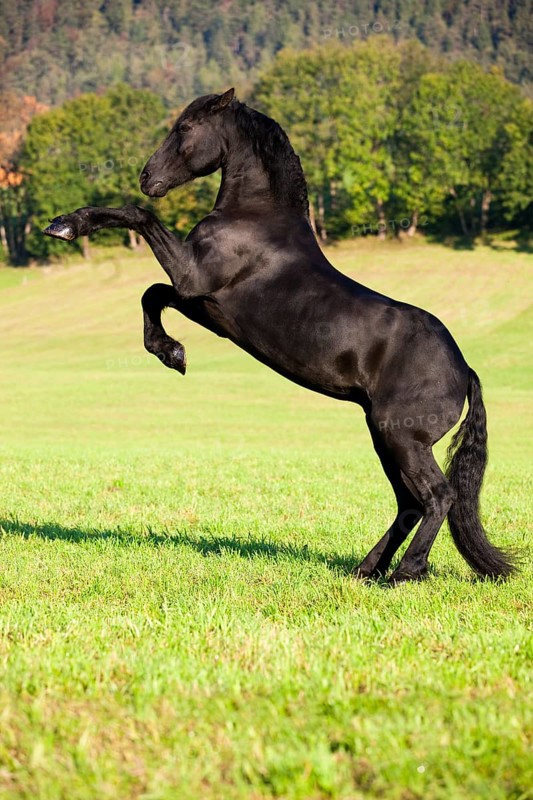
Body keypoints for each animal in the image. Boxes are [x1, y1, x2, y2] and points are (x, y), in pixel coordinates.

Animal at [43, 88, 516, 583]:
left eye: (185, 128)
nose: (147, 177)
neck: (255, 217)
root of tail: (464, 369)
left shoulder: (191, 278)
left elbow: (140, 225)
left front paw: (67, 225)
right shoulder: (199, 302)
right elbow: (152, 294)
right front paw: (172, 352)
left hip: (402, 438)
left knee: (437, 497)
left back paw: (405, 572)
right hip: (385, 437)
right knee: (410, 503)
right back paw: (366, 569)